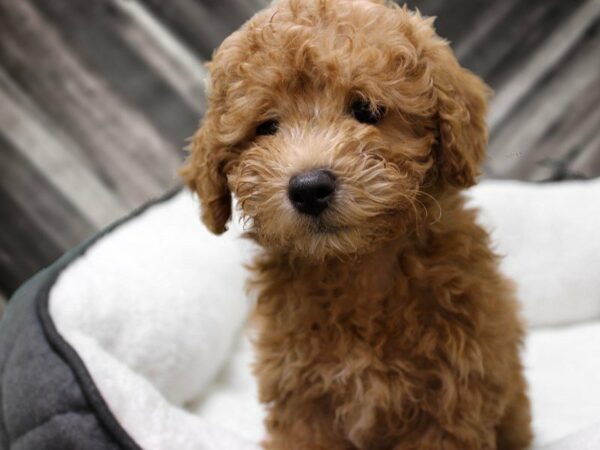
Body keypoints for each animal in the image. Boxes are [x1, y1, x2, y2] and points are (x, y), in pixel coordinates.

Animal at [180, 1, 532, 448]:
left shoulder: (450, 401)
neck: (357, 268)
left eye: (366, 110)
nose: (309, 188)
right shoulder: (302, 398)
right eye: (267, 127)